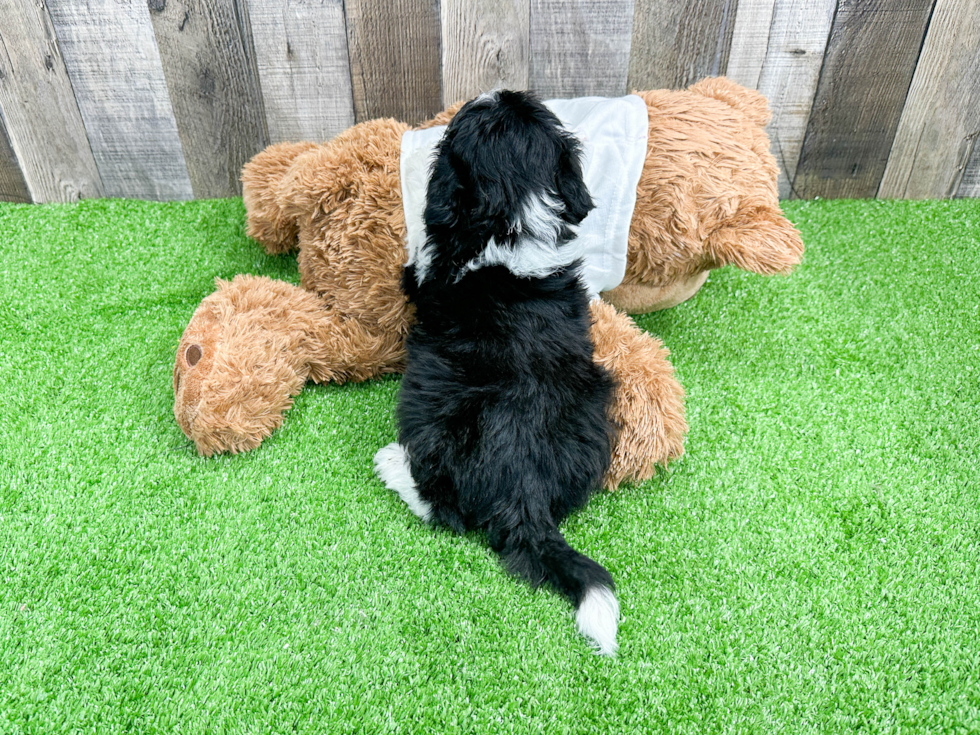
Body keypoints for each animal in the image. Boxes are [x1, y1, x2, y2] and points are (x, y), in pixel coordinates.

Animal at [376, 92, 620, 656]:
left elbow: (413, 267)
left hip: (432, 422)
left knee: (444, 510)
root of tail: (526, 497)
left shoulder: (427, 277)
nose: (496, 92)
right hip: (595, 411)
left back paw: (393, 466)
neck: (514, 220)